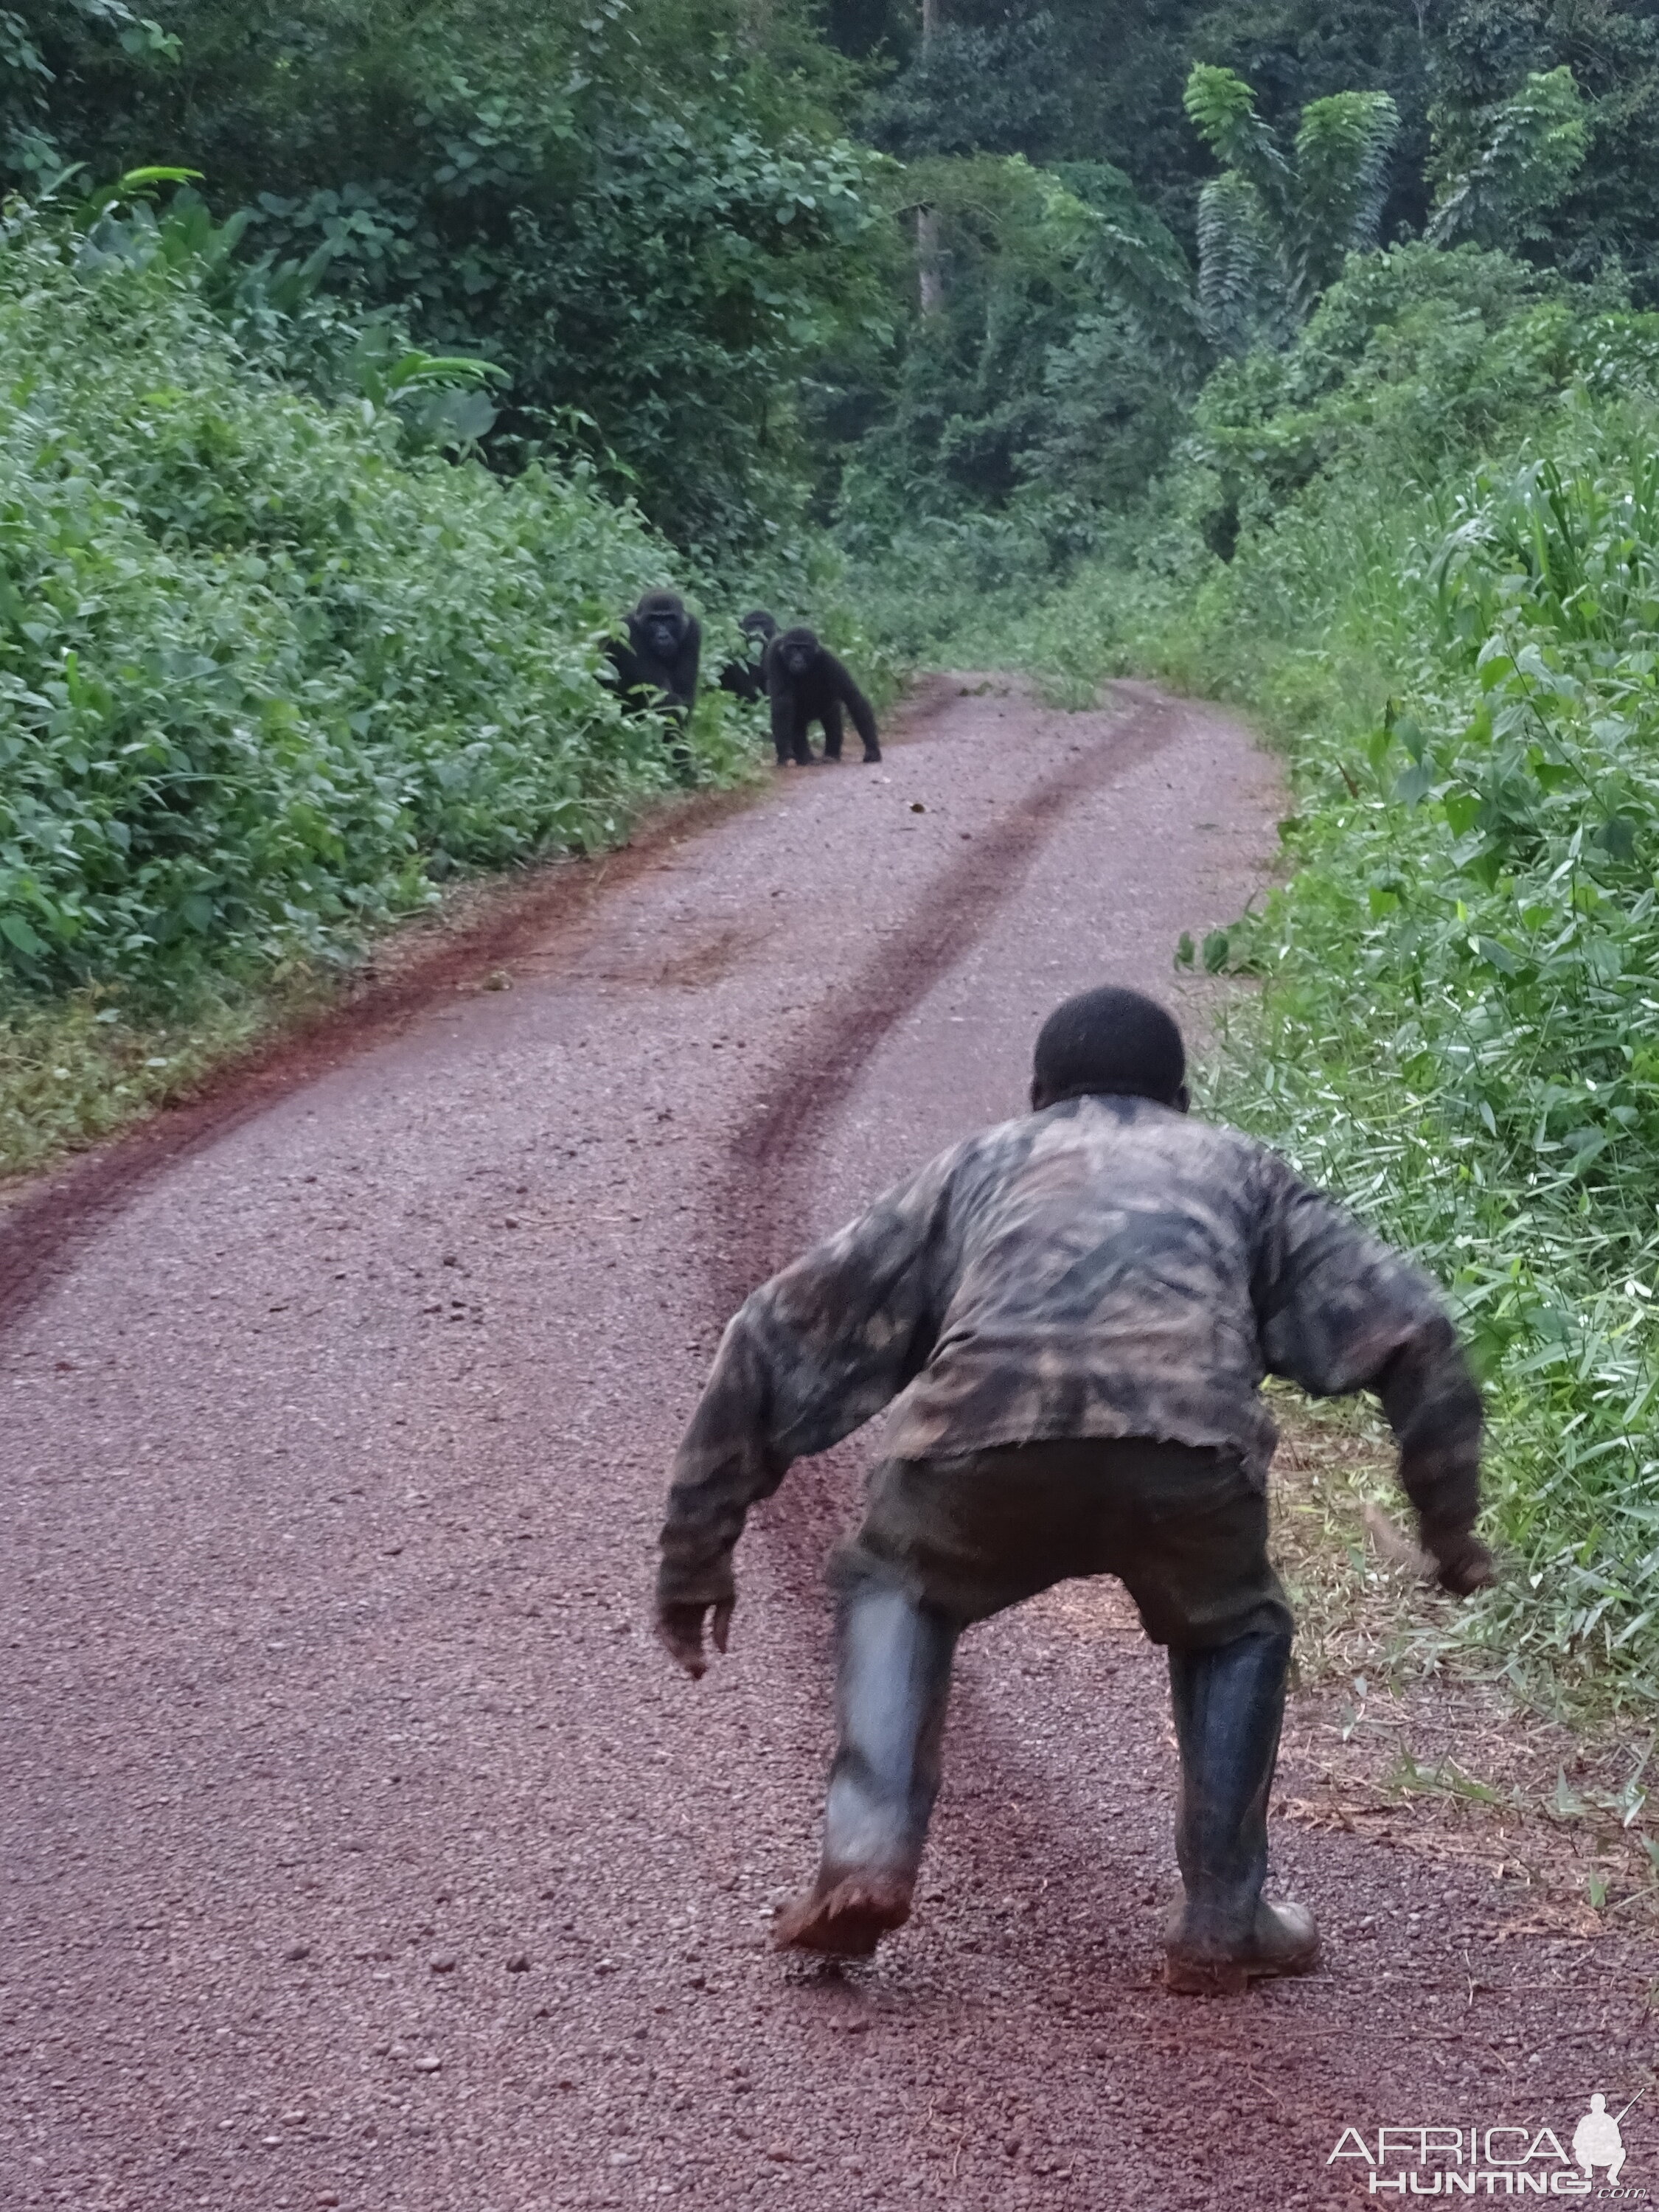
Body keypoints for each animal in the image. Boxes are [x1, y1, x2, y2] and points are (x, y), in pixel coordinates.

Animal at [606, 588, 703, 726]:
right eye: (654, 621)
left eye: (669, 620)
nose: (663, 636)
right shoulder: (628, 630)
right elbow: (662, 695)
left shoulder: (693, 630)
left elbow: (685, 694)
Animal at [774, 633, 889, 770]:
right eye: (792, 648)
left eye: (804, 649)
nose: (797, 660)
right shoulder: (775, 656)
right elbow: (782, 702)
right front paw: (785, 754)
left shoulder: (830, 662)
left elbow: (853, 698)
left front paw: (872, 749)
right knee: (797, 725)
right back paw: (806, 758)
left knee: (832, 721)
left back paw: (831, 755)